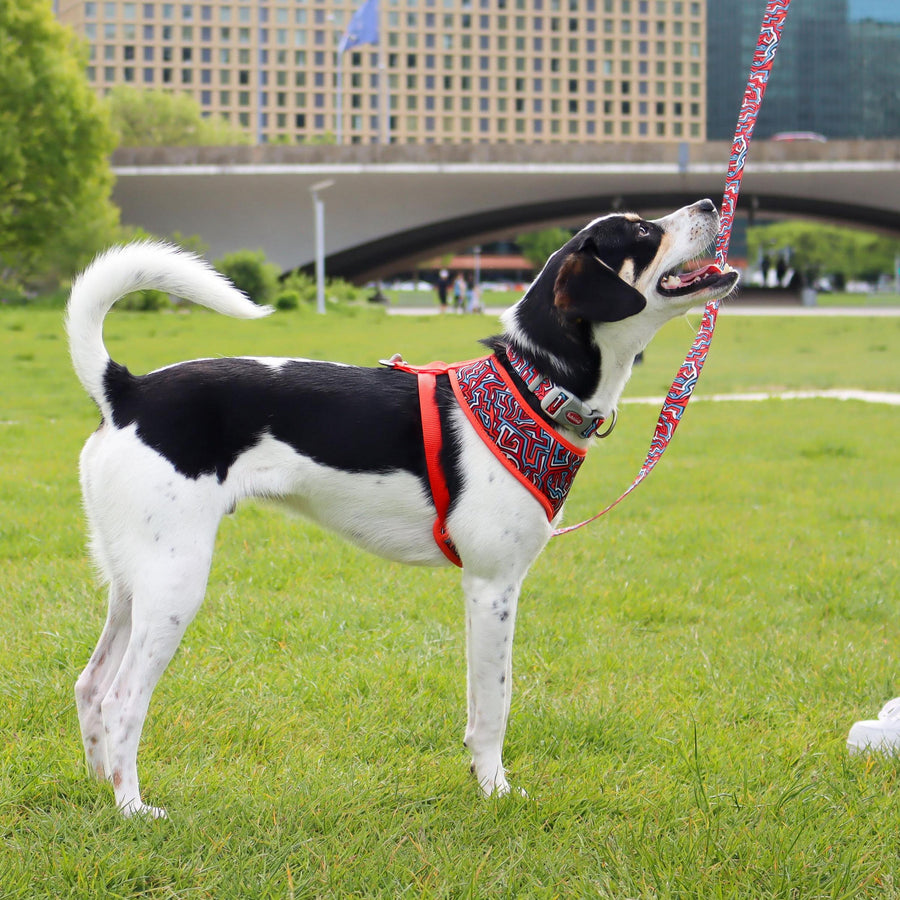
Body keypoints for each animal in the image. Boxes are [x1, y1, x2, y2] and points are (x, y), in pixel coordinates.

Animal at [68, 200, 740, 820]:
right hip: (176, 582)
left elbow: (477, 702)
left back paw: (103, 791)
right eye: (643, 231)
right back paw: (134, 808)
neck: (532, 387)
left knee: (90, 685)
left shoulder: (480, 594)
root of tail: (126, 389)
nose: (711, 203)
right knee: (121, 700)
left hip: (134, 582)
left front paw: (480, 780)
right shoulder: (495, 587)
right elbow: (496, 706)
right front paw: (496, 793)